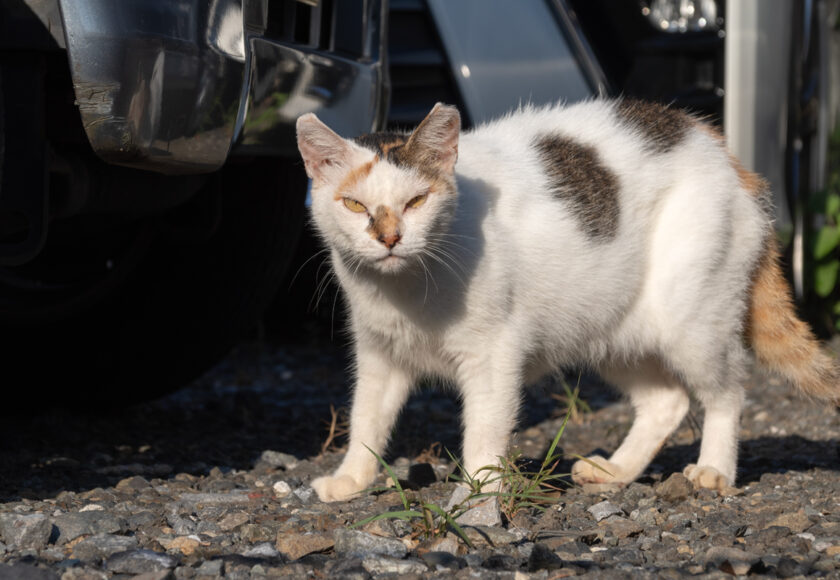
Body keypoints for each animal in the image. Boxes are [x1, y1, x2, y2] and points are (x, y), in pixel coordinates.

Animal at [296, 97, 840, 500]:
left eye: (415, 201)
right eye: (354, 204)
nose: (389, 238)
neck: (404, 289)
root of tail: (722, 150)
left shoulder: (493, 355)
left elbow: (484, 430)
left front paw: (480, 493)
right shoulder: (379, 354)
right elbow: (366, 418)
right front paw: (351, 479)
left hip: (693, 321)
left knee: (728, 391)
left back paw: (714, 470)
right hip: (609, 328)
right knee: (667, 401)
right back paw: (616, 471)